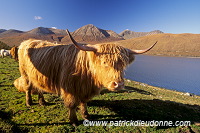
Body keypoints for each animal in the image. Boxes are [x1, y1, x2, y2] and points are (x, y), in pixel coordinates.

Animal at [14, 29, 157, 125]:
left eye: (123, 64)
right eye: (104, 62)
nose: (119, 84)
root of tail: (27, 41)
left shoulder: (84, 89)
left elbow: (84, 102)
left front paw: (86, 115)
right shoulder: (69, 88)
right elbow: (72, 104)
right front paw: (74, 121)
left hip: (37, 76)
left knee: (39, 88)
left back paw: (42, 102)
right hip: (25, 73)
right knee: (28, 87)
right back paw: (29, 102)